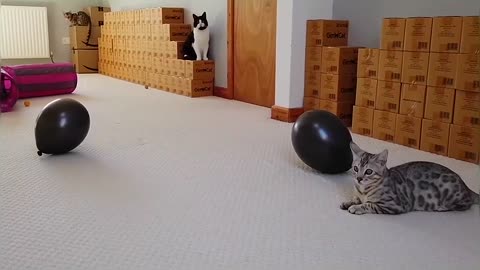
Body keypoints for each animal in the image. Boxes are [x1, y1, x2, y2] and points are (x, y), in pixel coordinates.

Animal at [340, 141, 478, 215]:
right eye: (355, 168)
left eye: (368, 171)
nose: (359, 178)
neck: (363, 190)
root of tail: (467, 188)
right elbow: (356, 198)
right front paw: (348, 202)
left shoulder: (395, 204)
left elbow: (369, 204)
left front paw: (356, 207)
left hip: (449, 191)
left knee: (465, 205)